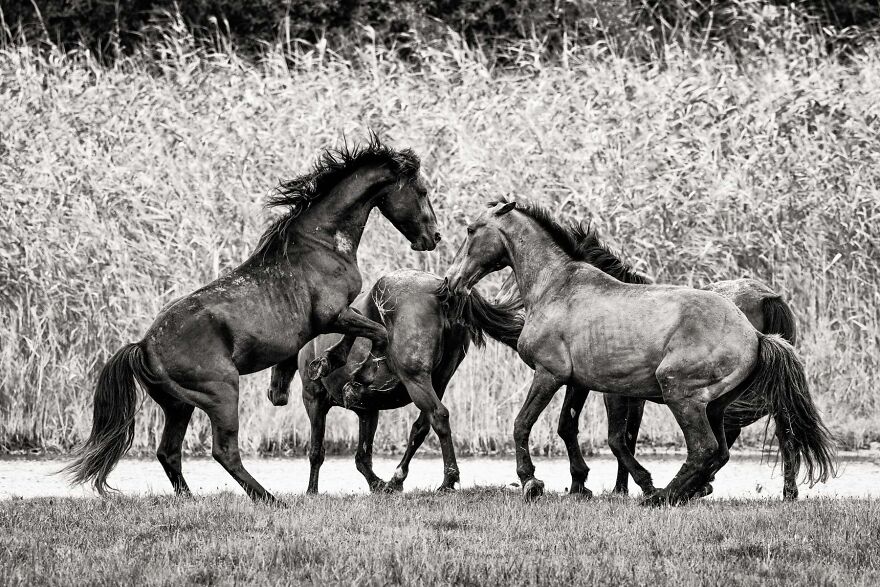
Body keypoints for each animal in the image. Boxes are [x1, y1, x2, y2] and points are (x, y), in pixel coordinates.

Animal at [65, 138, 441, 502]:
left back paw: (191, 499)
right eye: (422, 191)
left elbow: (360, 332)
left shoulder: (337, 317)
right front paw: (346, 369)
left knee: (168, 452)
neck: (322, 243)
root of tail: (143, 346)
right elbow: (376, 333)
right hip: (222, 394)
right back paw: (270, 499)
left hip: (179, 406)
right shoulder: (333, 315)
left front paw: (314, 370)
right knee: (224, 451)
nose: (434, 237)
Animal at [266, 268, 523, 493]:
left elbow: (316, 452)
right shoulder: (368, 412)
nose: (274, 394)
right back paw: (396, 478)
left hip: (415, 379)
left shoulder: (314, 400)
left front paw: (312, 491)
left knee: (438, 416)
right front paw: (378, 486)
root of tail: (443, 294)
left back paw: (448, 480)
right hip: (439, 380)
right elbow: (362, 457)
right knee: (422, 426)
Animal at [445, 199, 836, 505]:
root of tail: (755, 335)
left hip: (681, 395)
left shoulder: (550, 374)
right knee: (723, 450)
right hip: (715, 405)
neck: (555, 286)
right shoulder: (582, 383)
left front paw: (531, 482)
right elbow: (580, 429)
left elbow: (524, 424)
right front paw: (585, 484)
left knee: (705, 449)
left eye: (470, 229)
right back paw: (681, 493)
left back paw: (662, 496)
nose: (451, 280)